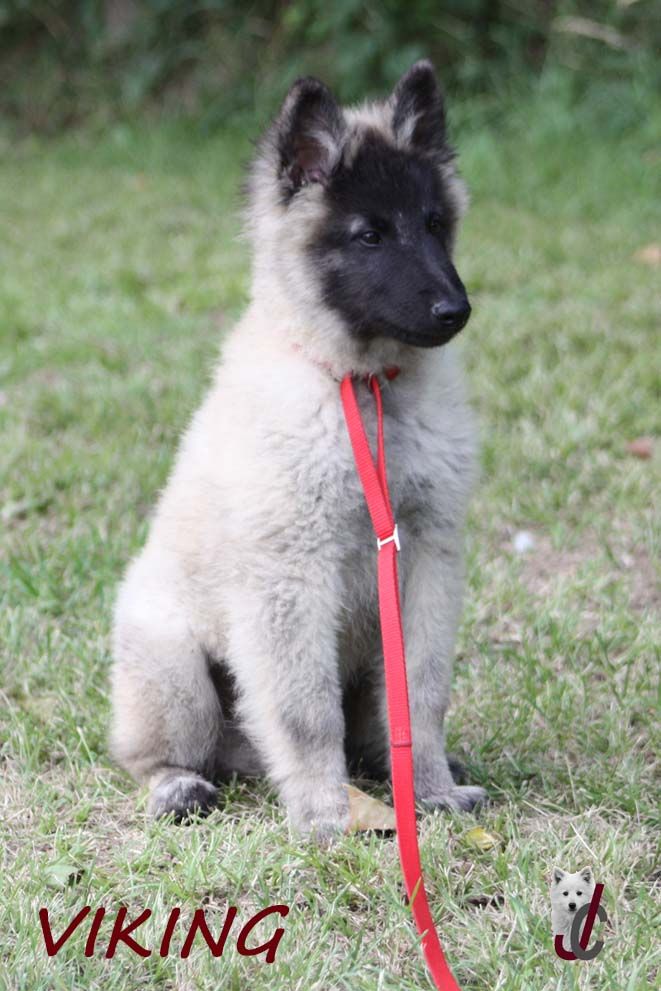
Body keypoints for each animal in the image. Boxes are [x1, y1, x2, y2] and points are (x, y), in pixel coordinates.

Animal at [110, 60, 486, 839]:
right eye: (369, 235)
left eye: (434, 225)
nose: (455, 311)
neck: (364, 385)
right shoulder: (290, 576)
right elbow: (304, 712)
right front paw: (325, 815)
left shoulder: (426, 559)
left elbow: (422, 694)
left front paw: (431, 792)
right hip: (176, 673)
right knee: (163, 750)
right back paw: (178, 786)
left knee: (371, 730)